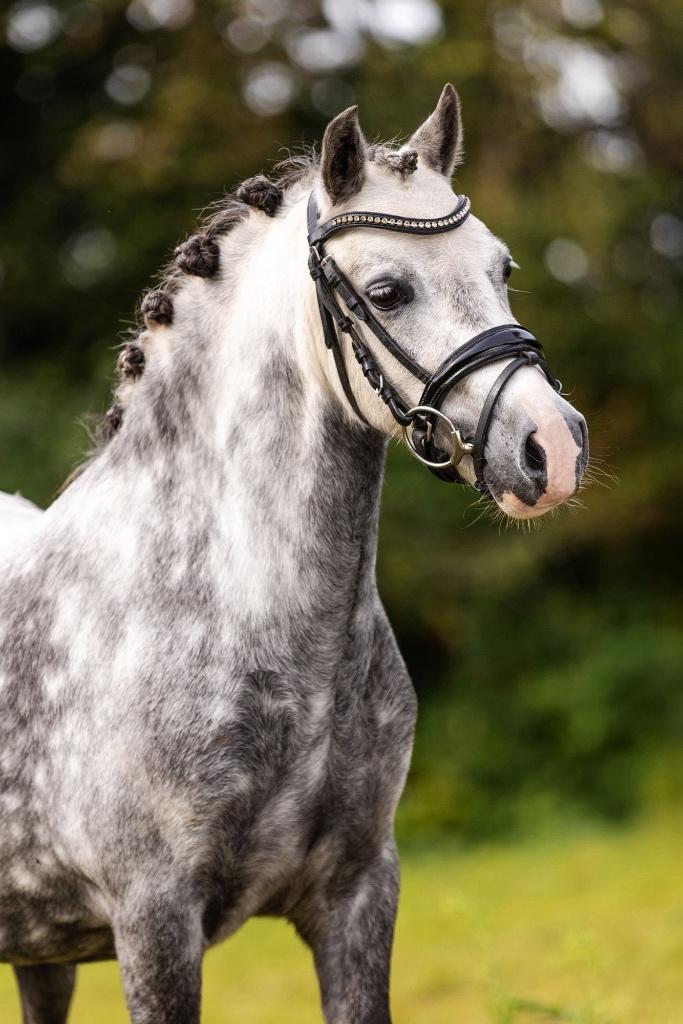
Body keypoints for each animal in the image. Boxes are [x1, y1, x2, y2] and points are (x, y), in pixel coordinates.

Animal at [0, 85, 588, 1023]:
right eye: (386, 291)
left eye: (500, 269)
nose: (553, 448)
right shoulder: (154, 922)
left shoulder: (356, 893)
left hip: (41, 951)